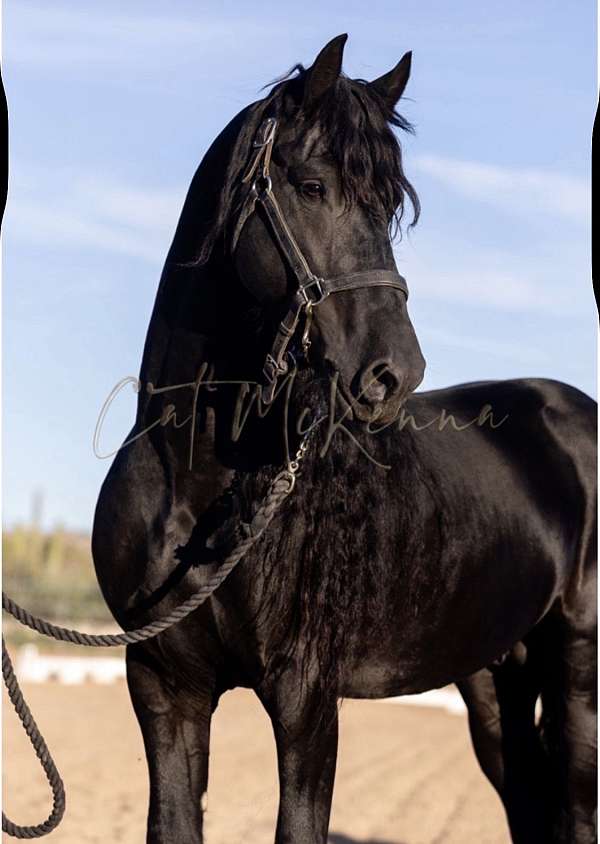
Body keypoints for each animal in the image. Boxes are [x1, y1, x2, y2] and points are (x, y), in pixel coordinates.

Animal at [92, 34, 597, 844]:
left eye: (390, 206)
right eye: (310, 184)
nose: (397, 371)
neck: (193, 483)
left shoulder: (306, 698)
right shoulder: (164, 691)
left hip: (576, 666)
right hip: (496, 680)